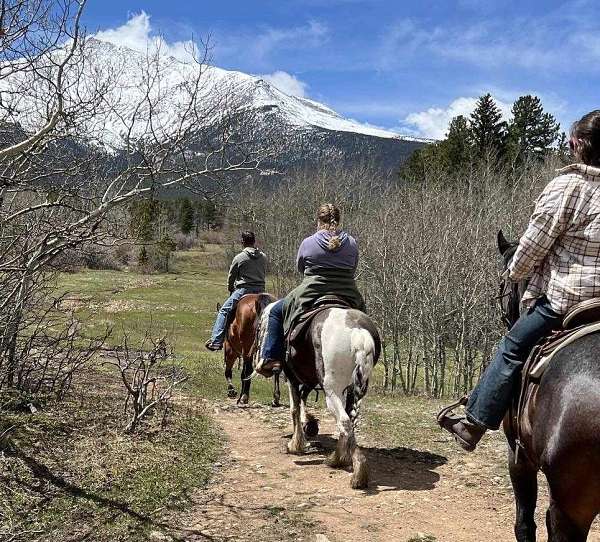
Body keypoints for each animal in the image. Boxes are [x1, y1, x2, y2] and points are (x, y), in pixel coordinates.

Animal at [254, 304, 380, 490]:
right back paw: (339, 458)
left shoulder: (292, 377)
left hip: (332, 390)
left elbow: (294, 408)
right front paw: (310, 425)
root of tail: (358, 331)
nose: (260, 363)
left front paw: (295, 444)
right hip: (350, 389)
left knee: (344, 420)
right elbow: (303, 400)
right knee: (349, 420)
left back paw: (354, 469)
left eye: (259, 328)